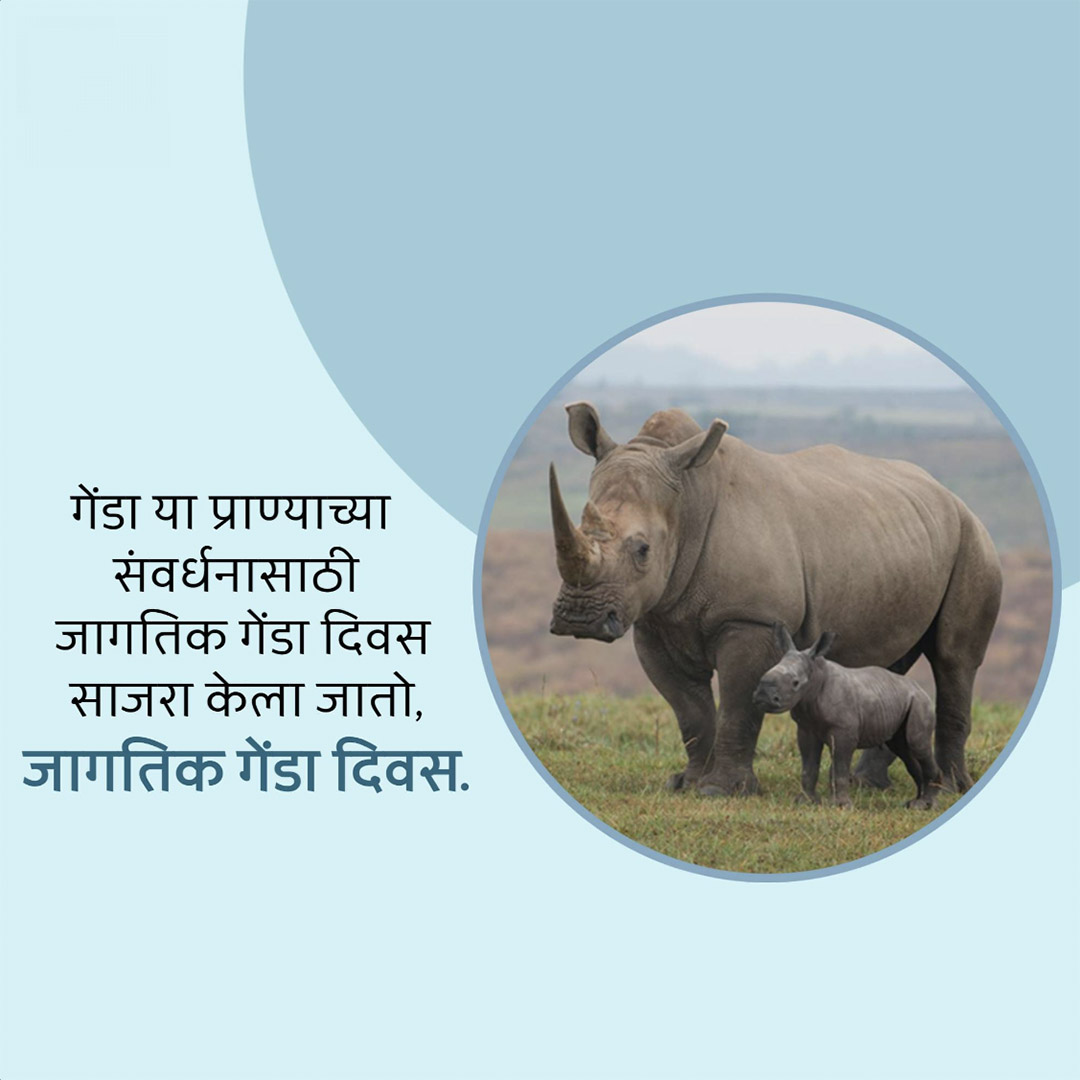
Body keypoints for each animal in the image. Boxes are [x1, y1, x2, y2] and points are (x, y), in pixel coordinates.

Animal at [548, 402, 1002, 796]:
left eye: (643, 550)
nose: (578, 618)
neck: (688, 502)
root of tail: (949, 495)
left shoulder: (752, 619)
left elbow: (737, 705)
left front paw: (721, 791)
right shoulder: (655, 618)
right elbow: (689, 710)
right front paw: (685, 785)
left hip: (973, 541)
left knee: (955, 659)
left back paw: (950, 786)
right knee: (889, 661)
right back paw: (867, 785)